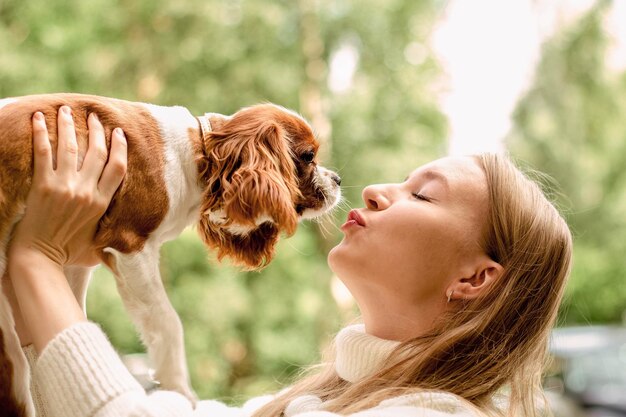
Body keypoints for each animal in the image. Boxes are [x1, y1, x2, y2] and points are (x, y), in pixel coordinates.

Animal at [0, 92, 342, 414]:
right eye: (308, 156)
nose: (338, 179)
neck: (200, 155)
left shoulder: (76, 261)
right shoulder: (131, 244)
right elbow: (168, 322)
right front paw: (179, 388)